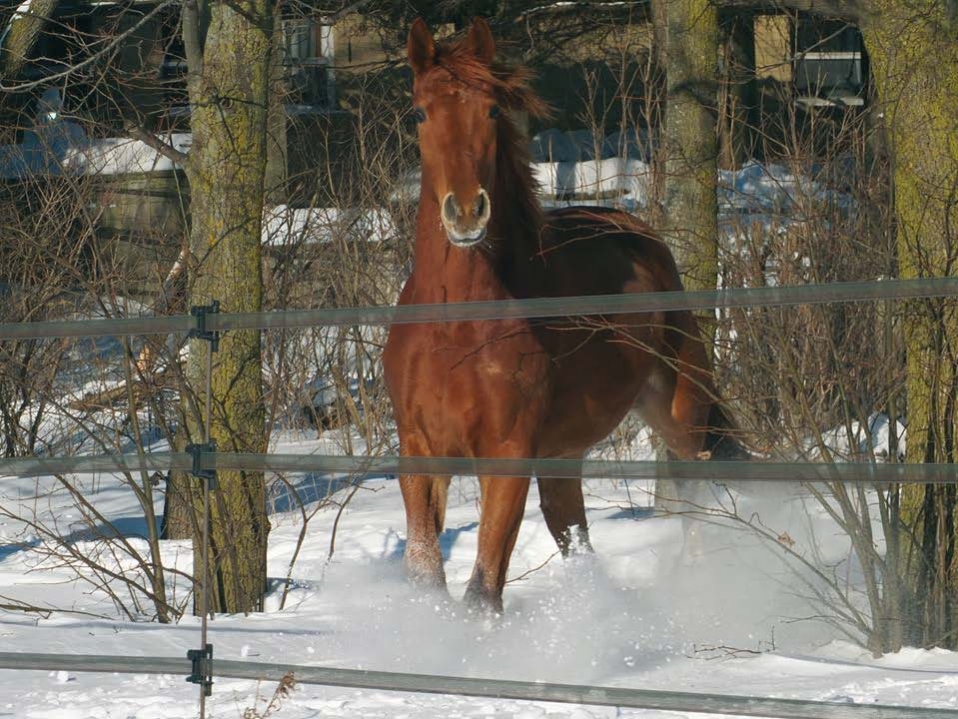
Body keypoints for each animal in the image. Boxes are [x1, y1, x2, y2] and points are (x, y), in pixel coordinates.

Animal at [382, 16, 744, 612]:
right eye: (419, 112)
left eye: (492, 110)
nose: (466, 212)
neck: (457, 327)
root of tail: (636, 231)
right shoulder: (420, 453)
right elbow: (424, 572)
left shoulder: (508, 455)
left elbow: (482, 592)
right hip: (564, 457)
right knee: (579, 539)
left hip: (679, 411)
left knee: (695, 492)